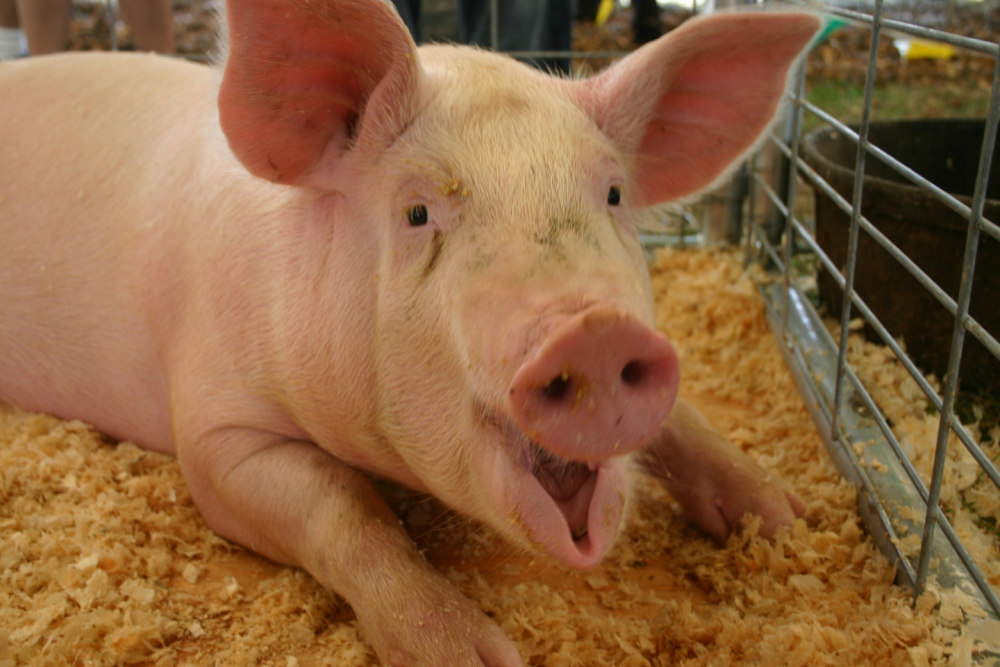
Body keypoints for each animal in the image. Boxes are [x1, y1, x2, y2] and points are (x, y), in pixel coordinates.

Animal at [0, 2, 820, 664]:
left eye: (614, 194)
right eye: (418, 212)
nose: (597, 329)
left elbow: (681, 417)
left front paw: (784, 521)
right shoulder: (213, 429)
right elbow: (343, 502)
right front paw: (472, 657)